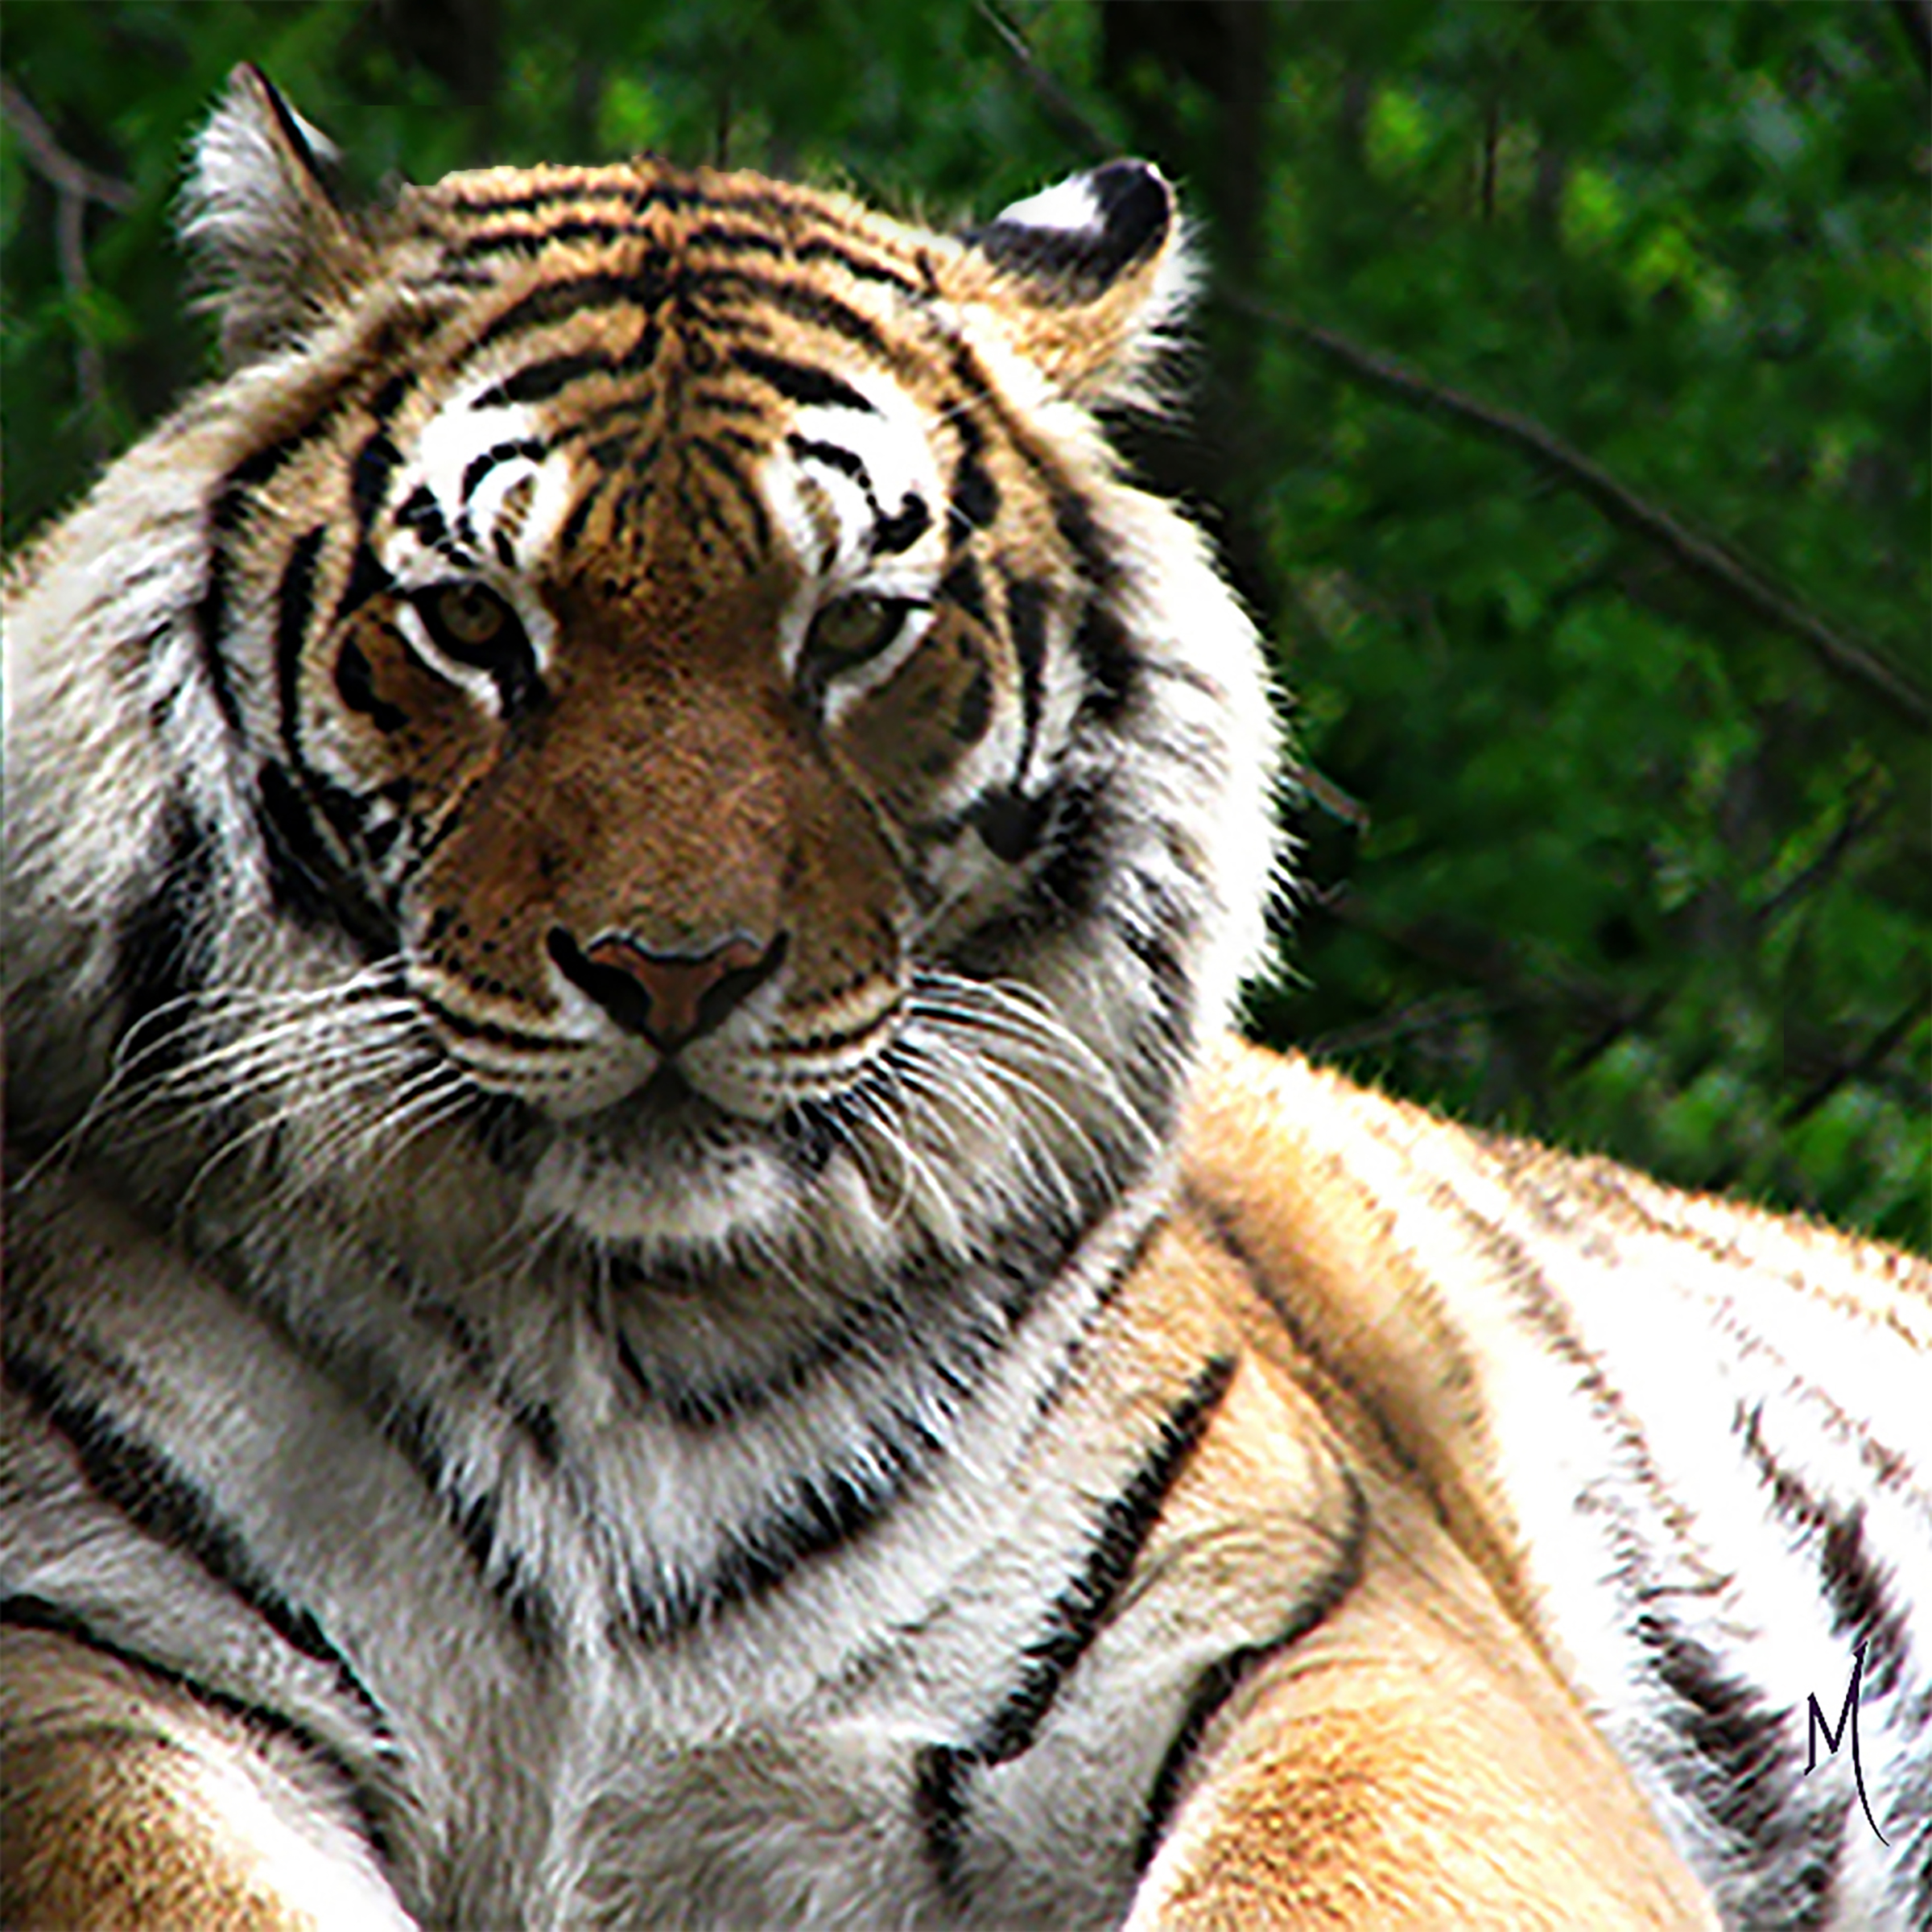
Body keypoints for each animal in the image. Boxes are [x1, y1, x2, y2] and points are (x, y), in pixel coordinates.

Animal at [3, 62, 1926, 1930]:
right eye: (474, 623)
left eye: (856, 631)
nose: (671, 974)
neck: (613, 1342)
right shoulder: (95, 1670)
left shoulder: (1343, 1644)